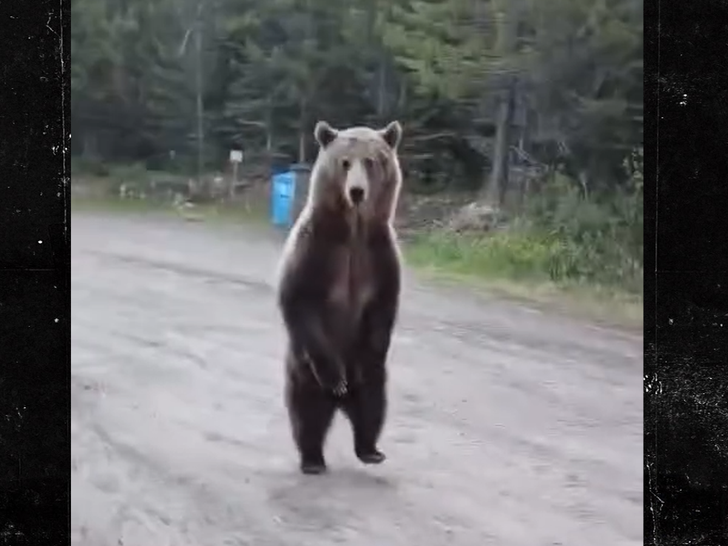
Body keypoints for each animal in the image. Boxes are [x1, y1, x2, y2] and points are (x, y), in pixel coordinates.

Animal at [274, 120, 404, 475]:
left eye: (371, 161)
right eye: (344, 162)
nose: (357, 191)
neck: (353, 232)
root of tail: (340, 404)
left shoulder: (380, 255)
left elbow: (383, 307)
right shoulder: (315, 248)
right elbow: (298, 298)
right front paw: (335, 378)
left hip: (372, 379)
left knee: (374, 404)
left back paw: (370, 449)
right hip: (302, 369)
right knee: (305, 411)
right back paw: (313, 458)